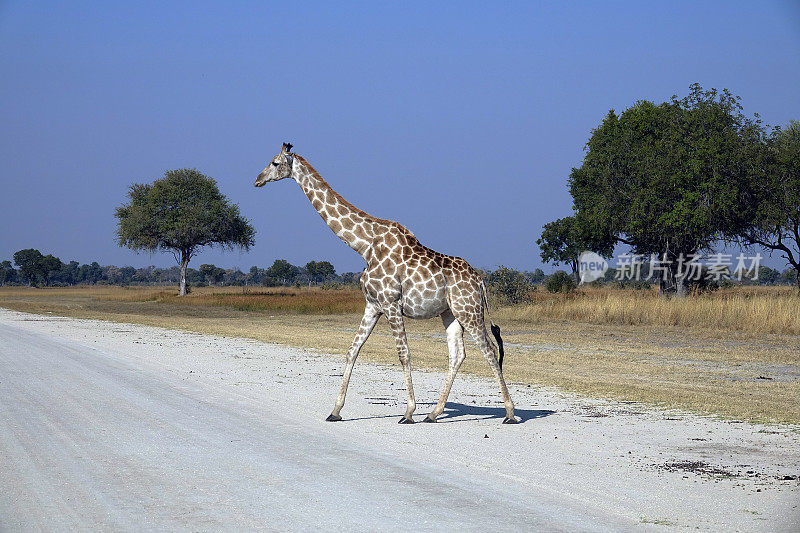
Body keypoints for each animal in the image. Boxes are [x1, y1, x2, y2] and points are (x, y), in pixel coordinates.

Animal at [256, 142, 520, 424]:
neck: (364, 246)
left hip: (468, 310)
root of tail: (480, 280)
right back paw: (434, 414)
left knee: (489, 350)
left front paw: (409, 412)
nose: (257, 180)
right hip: (450, 313)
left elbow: (404, 354)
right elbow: (352, 350)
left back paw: (510, 413)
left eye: (274, 162)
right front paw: (335, 411)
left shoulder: (391, 304)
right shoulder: (373, 305)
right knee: (457, 354)